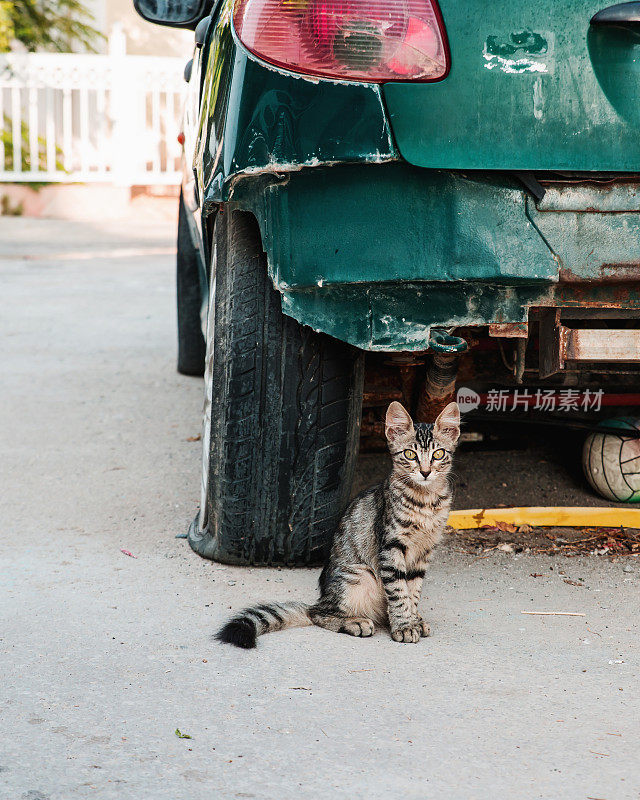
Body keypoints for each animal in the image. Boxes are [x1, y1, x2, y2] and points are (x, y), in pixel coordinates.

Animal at [216, 404, 460, 648]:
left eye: (438, 454)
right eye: (410, 454)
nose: (425, 472)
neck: (426, 501)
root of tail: (322, 598)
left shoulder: (424, 551)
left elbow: (413, 591)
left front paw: (413, 619)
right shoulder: (391, 547)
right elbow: (399, 592)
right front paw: (404, 626)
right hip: (359, 576)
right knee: (319, 614)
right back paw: (355, 622)